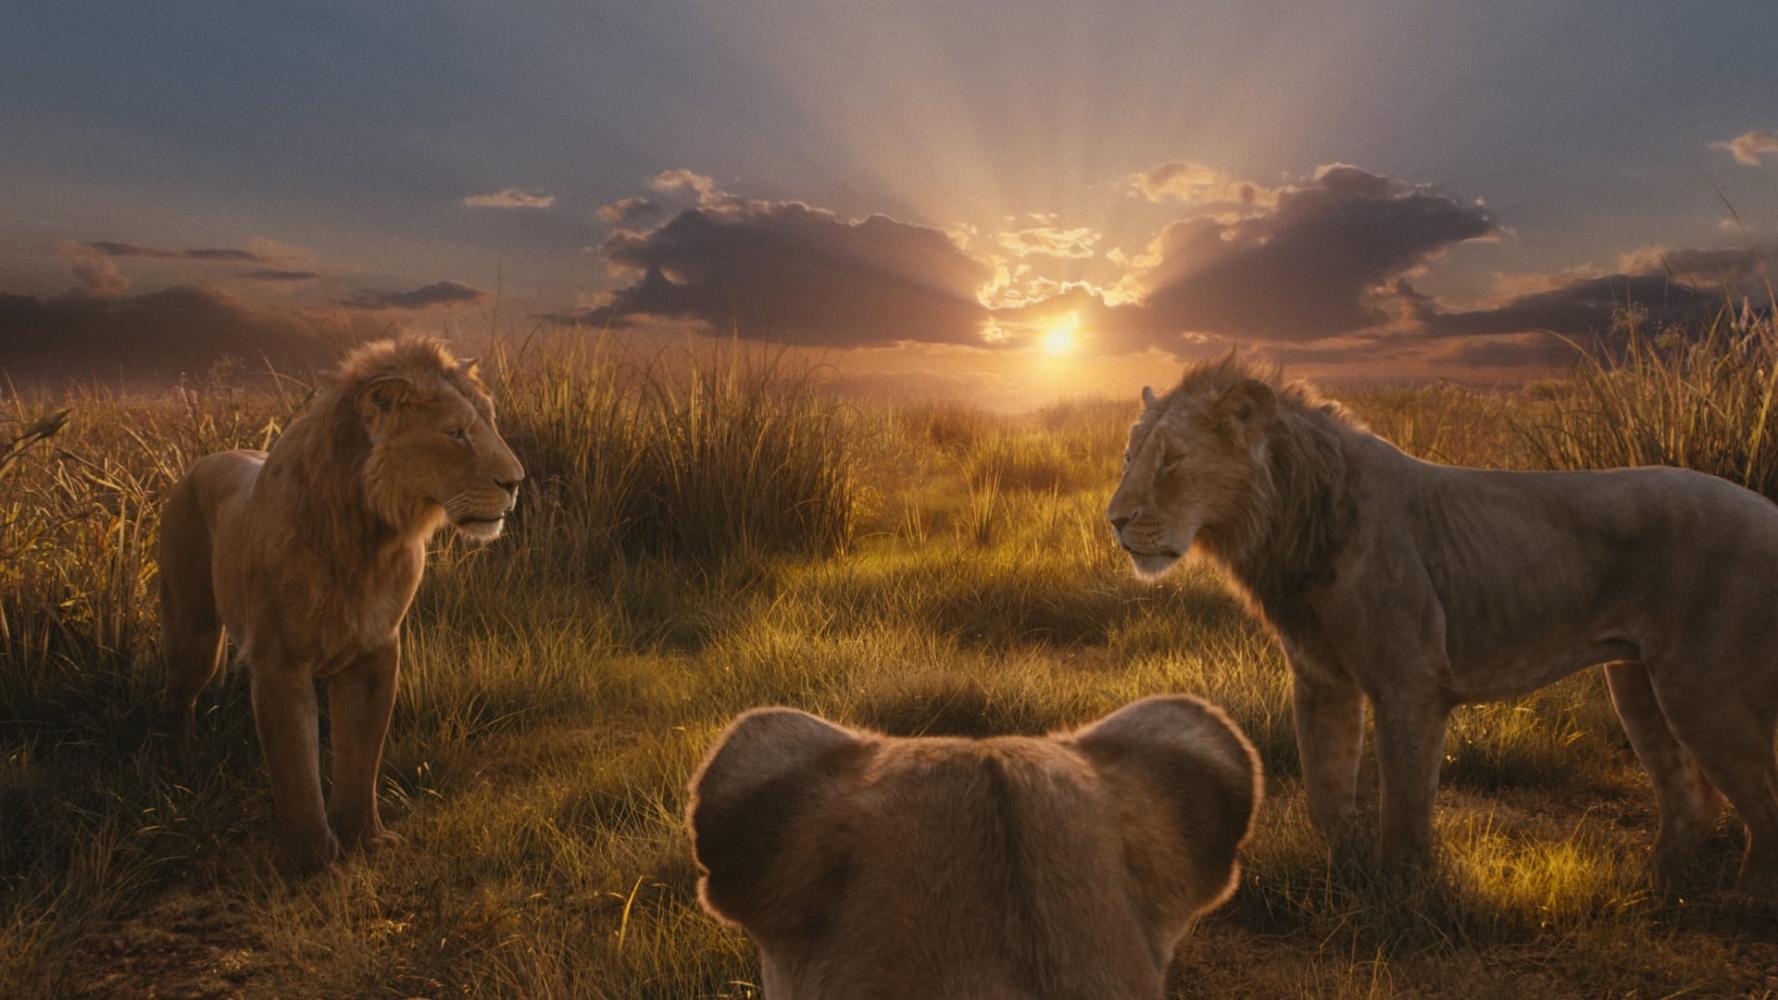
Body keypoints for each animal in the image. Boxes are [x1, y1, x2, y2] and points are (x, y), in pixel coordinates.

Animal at [157, 336, 523, 871]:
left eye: (490, 423)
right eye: (455, 432)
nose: (516, 482)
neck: (368, 537)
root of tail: (203, 461)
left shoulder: (375, 653)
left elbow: (360, 755)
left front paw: (365, 838)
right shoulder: (279, 662)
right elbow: (296, 767)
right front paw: (313, 859)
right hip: (193, 633)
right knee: (178, 697)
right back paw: (179, 772)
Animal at [1106, 353, 1778, 897]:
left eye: (1170, 460)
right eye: (1128, 456)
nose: (1113, 520)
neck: (1289, 523)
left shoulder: (1410, 684)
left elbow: (1404, 806)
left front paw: (1401, 894)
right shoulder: (1322, 680)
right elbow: (1326, 790)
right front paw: (1345, 877)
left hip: (1701, 690)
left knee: (1761, 800)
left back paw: (1746, 904)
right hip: (1636, 682)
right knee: (1693, 798)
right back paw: (1652, 887)